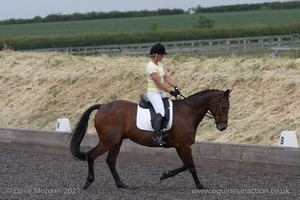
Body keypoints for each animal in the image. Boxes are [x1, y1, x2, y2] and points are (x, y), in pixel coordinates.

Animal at [69, 88, 231, 189]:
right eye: (223, 107)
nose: (223, 127)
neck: (188, 112)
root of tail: (102, 106)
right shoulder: (183, 145)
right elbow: (191, 166)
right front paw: (200, 185)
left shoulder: (181, 146)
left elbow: (185, 165)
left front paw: (165, 175)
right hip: (108, 141)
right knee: (91, 154)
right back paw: (88, 182)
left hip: (116, 141)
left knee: (111, 161)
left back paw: (122, 185)